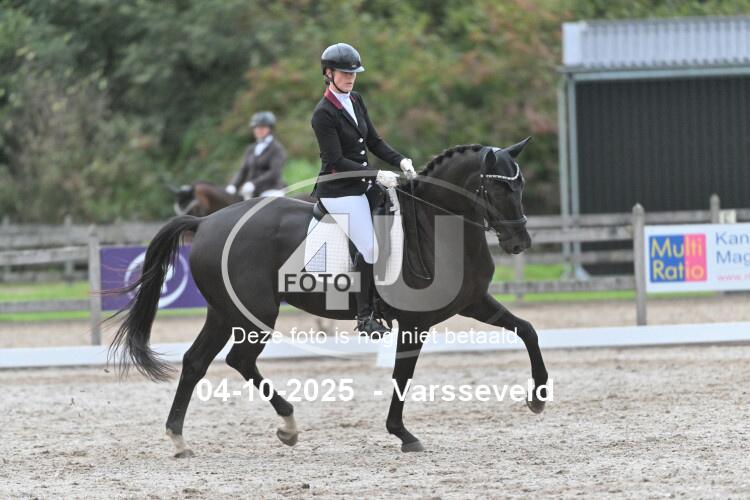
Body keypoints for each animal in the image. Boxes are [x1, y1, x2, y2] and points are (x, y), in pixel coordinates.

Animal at [110, 139, 548, 456]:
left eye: (520, 184)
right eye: (496, 186)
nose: (520, 242)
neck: (437, 226)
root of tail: (204, 223)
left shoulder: (474, 303)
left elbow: (527, 330)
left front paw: (538, 397)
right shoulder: (415, 322)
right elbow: (402, 376)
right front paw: (403, 434)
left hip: (224, 312)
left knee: (196, 362)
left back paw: (180, 439)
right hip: (253, 313)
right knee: (239, 360)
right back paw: (287, 425)